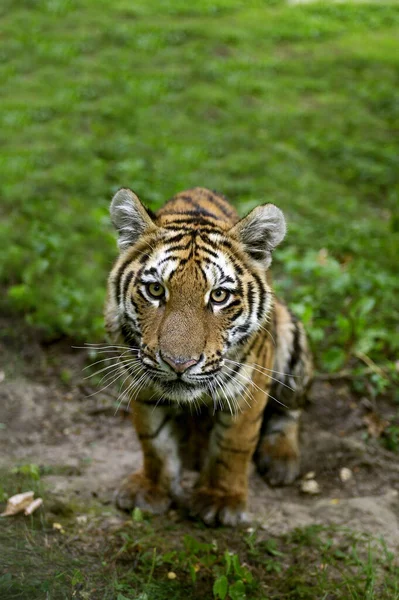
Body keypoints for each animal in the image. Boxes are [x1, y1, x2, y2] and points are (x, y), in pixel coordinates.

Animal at [105, 186, 312, 524]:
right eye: (156, 290)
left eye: (219, 295)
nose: (179, 364)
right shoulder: (142, 381)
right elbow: (154, 441)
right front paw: (151, 489)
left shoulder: (249, 385)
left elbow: (234, 444)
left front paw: (220, 499)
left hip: (291, 337)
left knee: (291, 410)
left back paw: (281, 461)